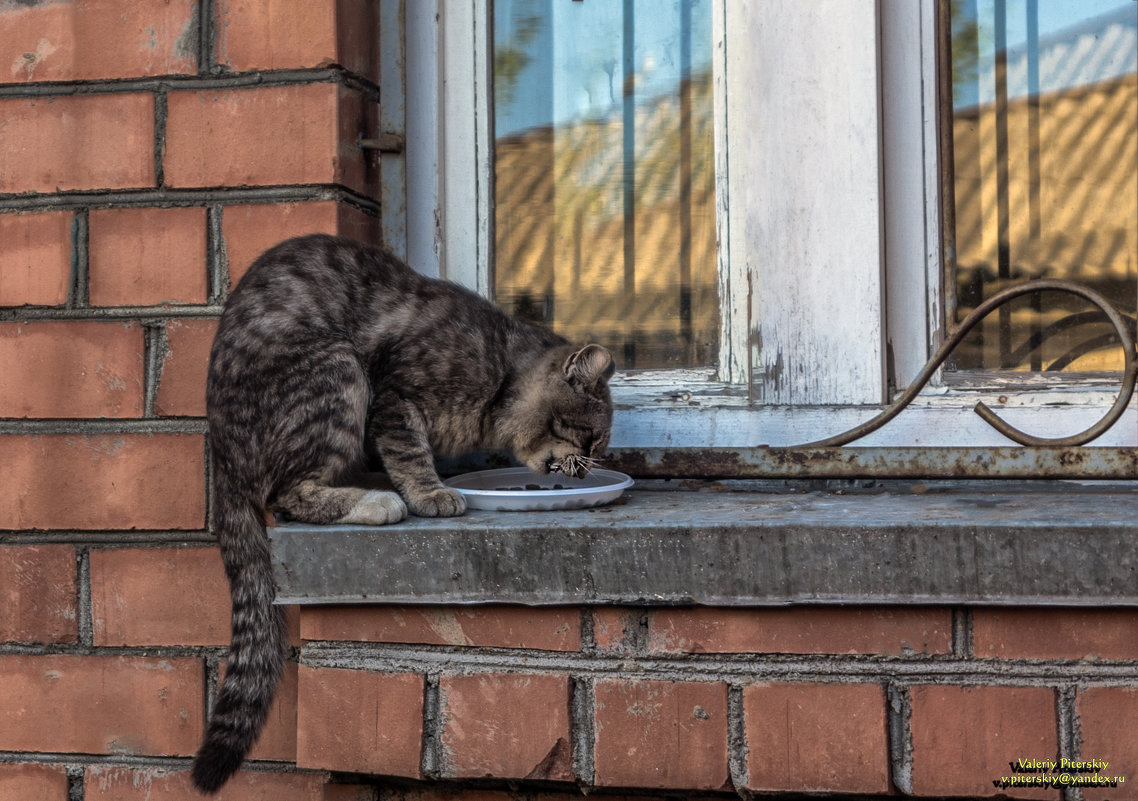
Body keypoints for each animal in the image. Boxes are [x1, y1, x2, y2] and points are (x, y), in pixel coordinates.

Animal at [190, 233, 614, 796]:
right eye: (590, 439)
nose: (588, 468)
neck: (501, 377)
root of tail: (221, 454)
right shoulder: (394, 393)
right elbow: (409, 450)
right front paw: (431, 492)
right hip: (337, 369)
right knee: (289, 495)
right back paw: (377, 501)